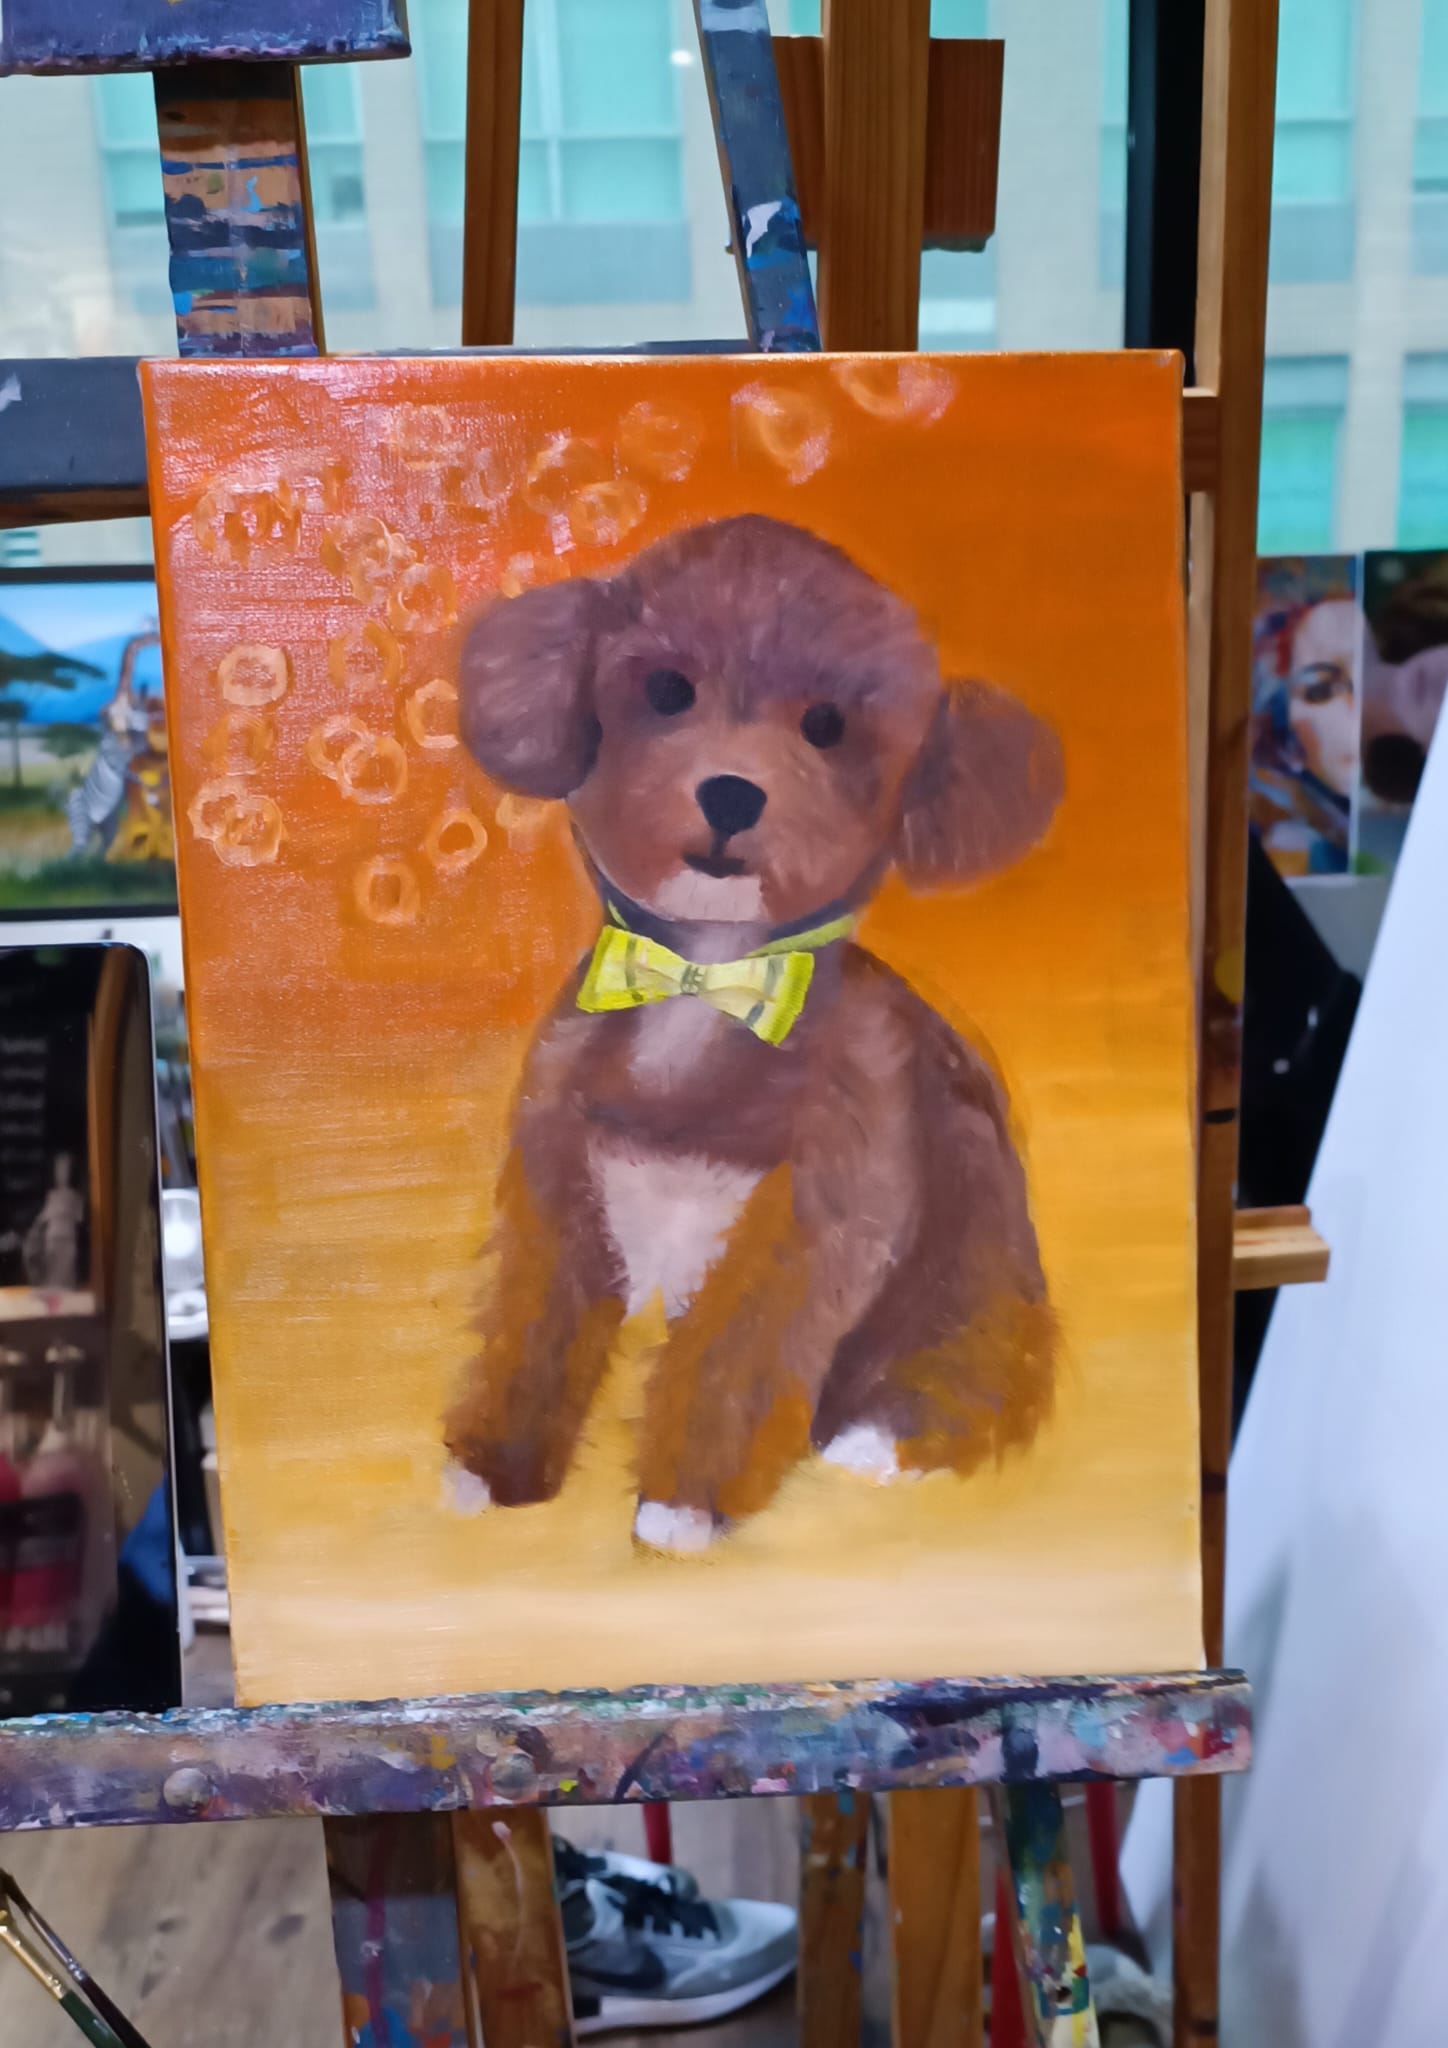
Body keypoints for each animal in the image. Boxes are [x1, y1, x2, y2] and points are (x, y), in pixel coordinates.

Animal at [444, 514, 1063, 1553]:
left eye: (827, 725)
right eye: (666, 690)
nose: (732, 794)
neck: (708, 984)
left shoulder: (811, 1226)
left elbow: (733, 1361)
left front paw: (682, 1509)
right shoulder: (558, 1192)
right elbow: (533, 1330)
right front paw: (493, 1469)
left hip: (974, 1280)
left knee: (976, 1382)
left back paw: (881, 1441)